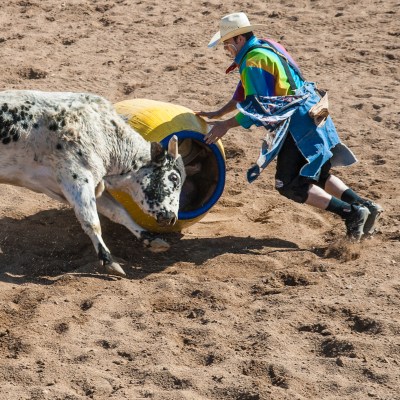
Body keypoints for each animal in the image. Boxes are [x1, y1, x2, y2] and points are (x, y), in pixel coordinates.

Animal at [0, 90, 186, 276]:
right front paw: (109, 261)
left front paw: (151, 239)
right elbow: (91, 221)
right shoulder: (77, 180)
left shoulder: (95, 185)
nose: (171, 218)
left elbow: (119, 213)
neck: (104, 136)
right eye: (174, 178)